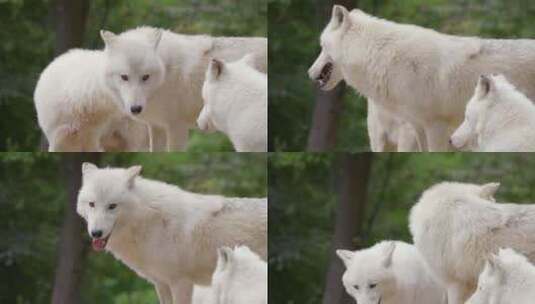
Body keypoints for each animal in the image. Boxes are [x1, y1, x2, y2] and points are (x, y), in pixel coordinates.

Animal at [75, 164, 268, 304]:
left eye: (112, 206)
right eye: (91, 204)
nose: (96, 233)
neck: (149, 220)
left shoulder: (181, 283)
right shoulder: (161, 283)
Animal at [99, 27, 266, 151]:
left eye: (145, 77)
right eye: (124, 77)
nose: (135, 109)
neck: (166, 73)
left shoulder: (176, 127)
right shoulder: (156, 126)